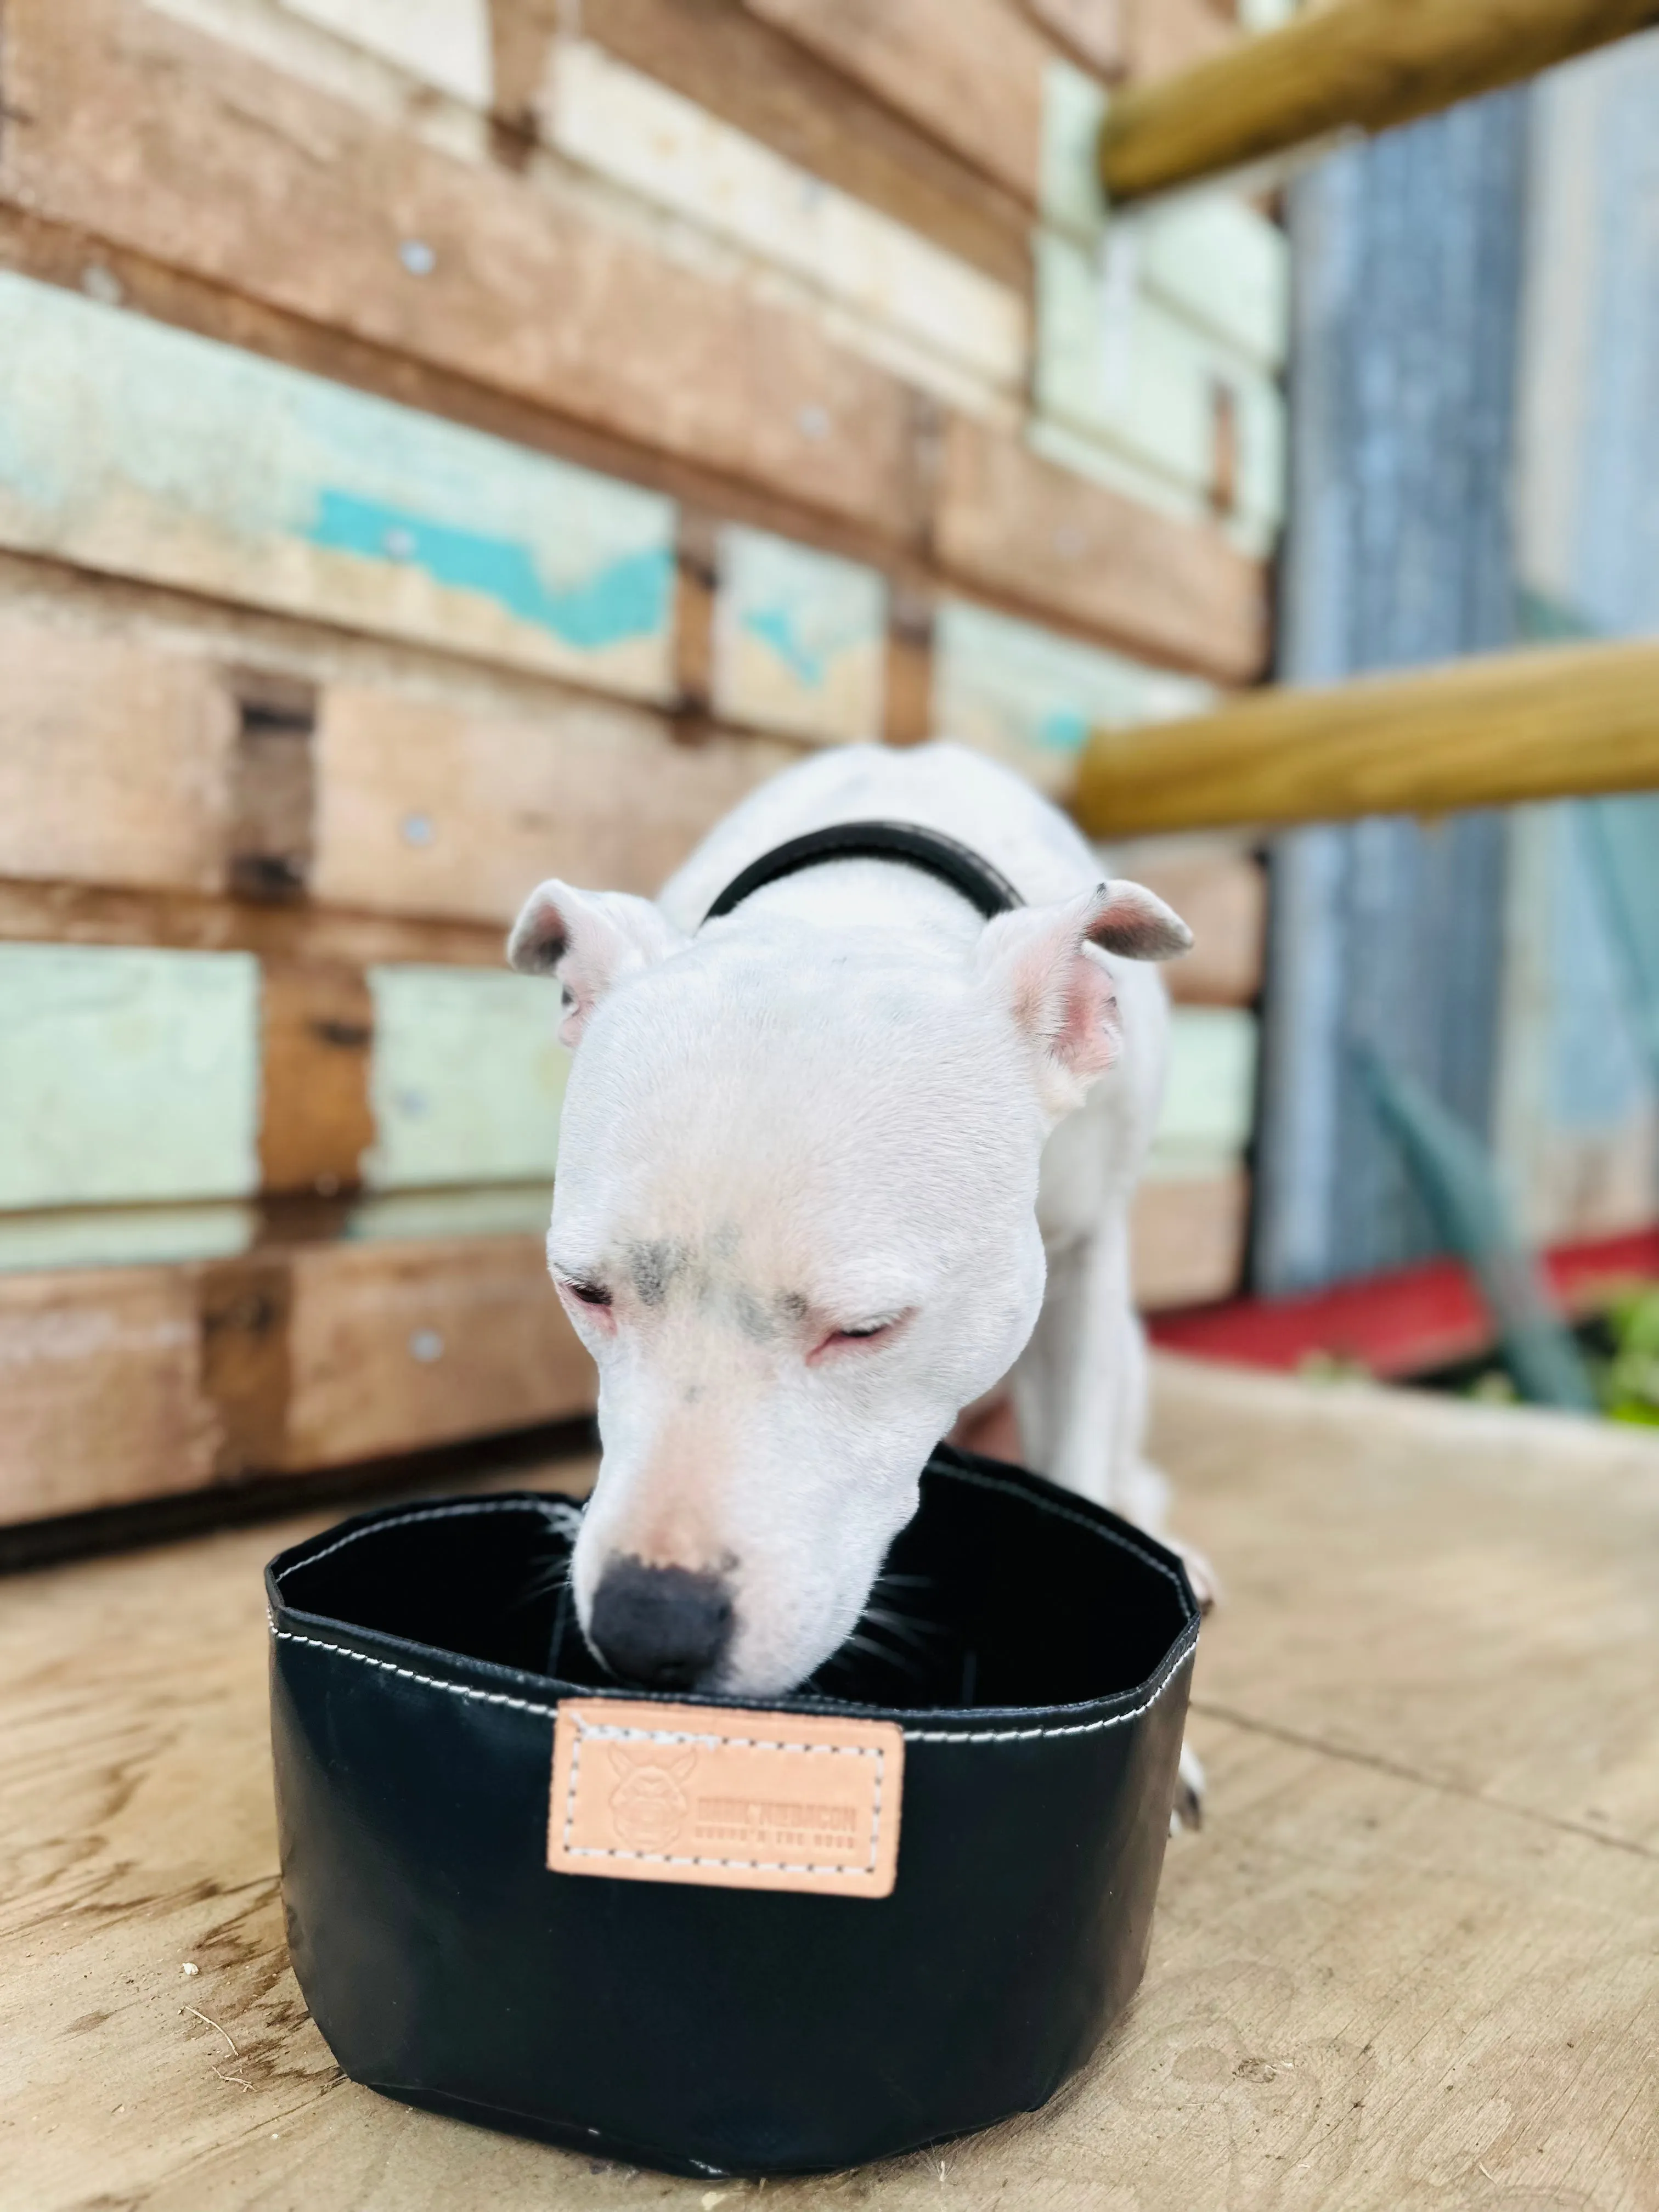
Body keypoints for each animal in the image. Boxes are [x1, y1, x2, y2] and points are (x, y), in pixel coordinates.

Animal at [513, 743, 1203, 1814]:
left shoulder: (1089, 1263)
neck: (858, 905)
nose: (649, 1625)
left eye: (869, 1328)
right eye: (586, 1291)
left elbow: (1080, 1455)